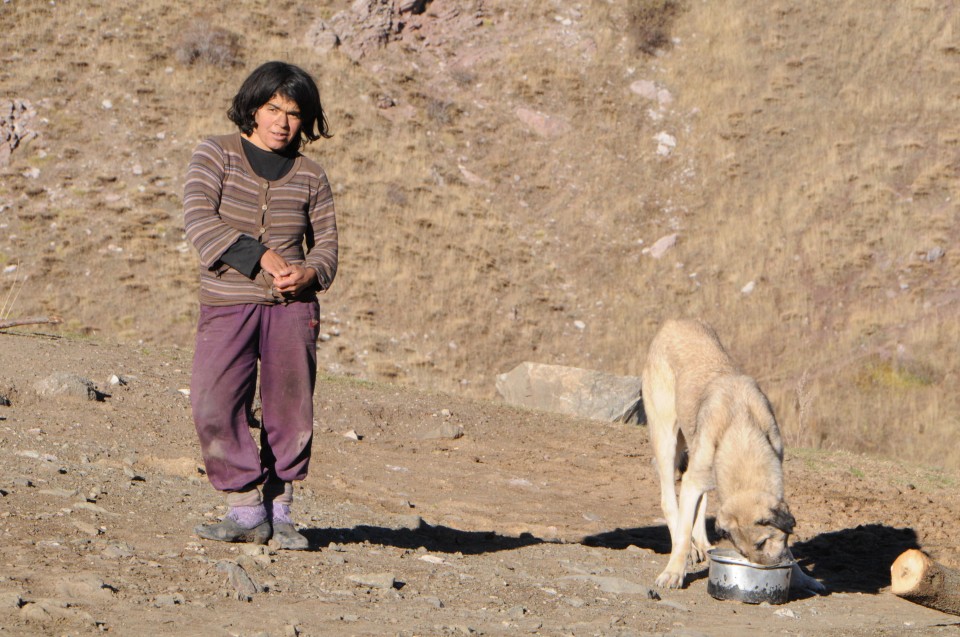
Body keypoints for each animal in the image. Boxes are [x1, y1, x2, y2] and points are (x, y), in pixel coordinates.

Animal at [640, 318, 820, 592]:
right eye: (745, 551)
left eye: (762, 543)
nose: (766, 572)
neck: (741, 430)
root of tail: (674, 322)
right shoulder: (693, 480)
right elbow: (682, 532)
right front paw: (674, 572)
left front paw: (800, 576)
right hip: (666, 437)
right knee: (669, 501)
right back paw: (691, 549)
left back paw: (704, 544)